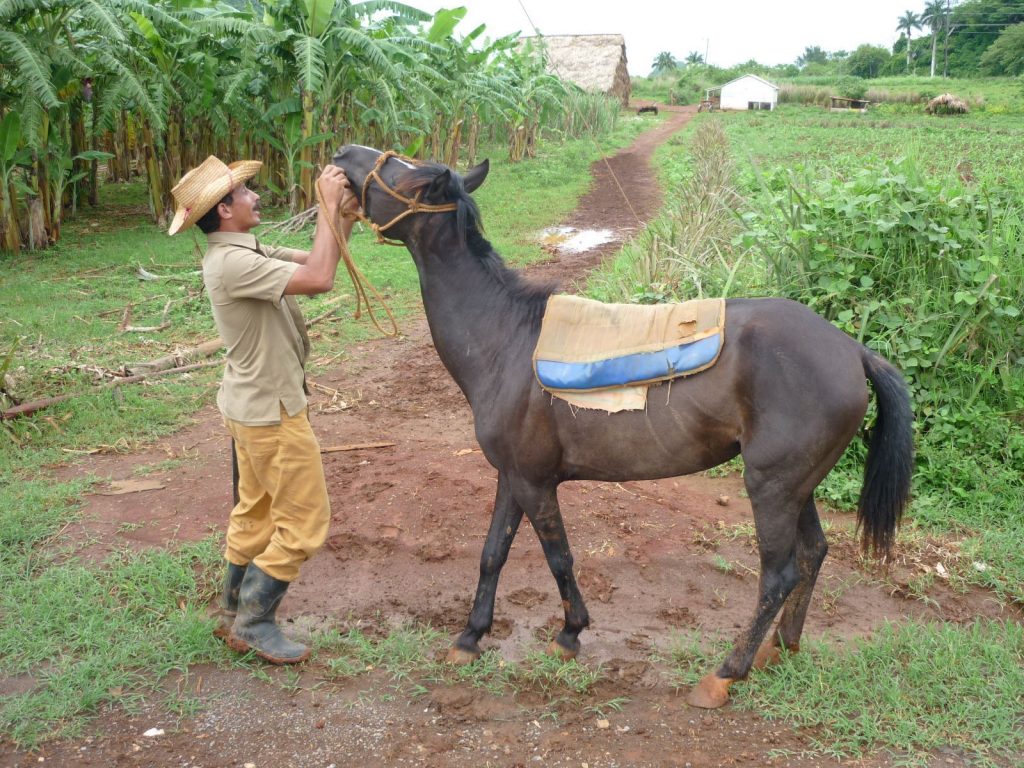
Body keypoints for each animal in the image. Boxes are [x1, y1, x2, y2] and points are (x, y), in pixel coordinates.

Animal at [329, 144, 913, 708]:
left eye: (406, 174)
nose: (341, 154)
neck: (504, 339)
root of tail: (853, 351)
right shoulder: (511, 476)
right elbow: (493, 553)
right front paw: (471, 637)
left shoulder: (535, 482)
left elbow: (558, 556)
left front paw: (569, 634)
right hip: (797, 486)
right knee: (813, 555)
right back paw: (780, 649)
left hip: (771, 487)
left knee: (779, 574)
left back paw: (726, 673)